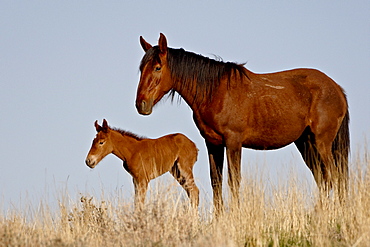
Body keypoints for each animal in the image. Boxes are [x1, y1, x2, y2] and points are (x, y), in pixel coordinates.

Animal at [135, 33, 350, 214]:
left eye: (157, 67)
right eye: (141, 68)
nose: (141, 104)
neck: (216, 92)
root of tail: (337, 89)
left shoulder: (233, 143)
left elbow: (234, 181)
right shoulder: (213, 143)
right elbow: (216, 181)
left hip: (321, 143)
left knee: (334, 176)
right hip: (306, 144)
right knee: (324, 179)